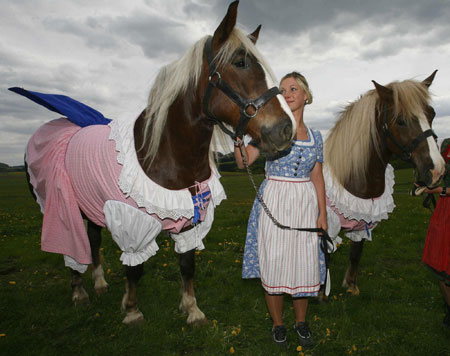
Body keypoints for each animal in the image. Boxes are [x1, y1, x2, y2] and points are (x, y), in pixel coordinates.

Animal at [322, 69, 444, 294]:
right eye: (401, 120)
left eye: (432, 114)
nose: (436, 170)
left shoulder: (362, 225)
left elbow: (356, 252)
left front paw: (351, 286)